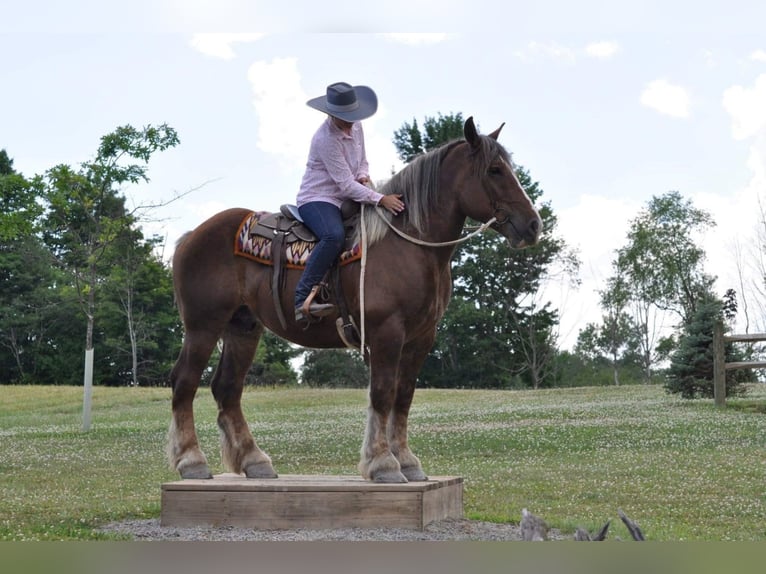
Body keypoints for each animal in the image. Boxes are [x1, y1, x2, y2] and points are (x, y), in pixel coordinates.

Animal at [170, 118, 544, 486]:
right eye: (495, 170)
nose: (533, 225)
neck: (412, 246)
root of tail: (192, 236)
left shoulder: (421, 337)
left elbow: (403, 397)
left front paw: (407, 462)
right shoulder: (386, 332)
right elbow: (382, 394)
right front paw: (384, 464)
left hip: (243, 327)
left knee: (228, 389)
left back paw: (254, 461)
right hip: (203, 326)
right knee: (184, 381)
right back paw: (191, 462)